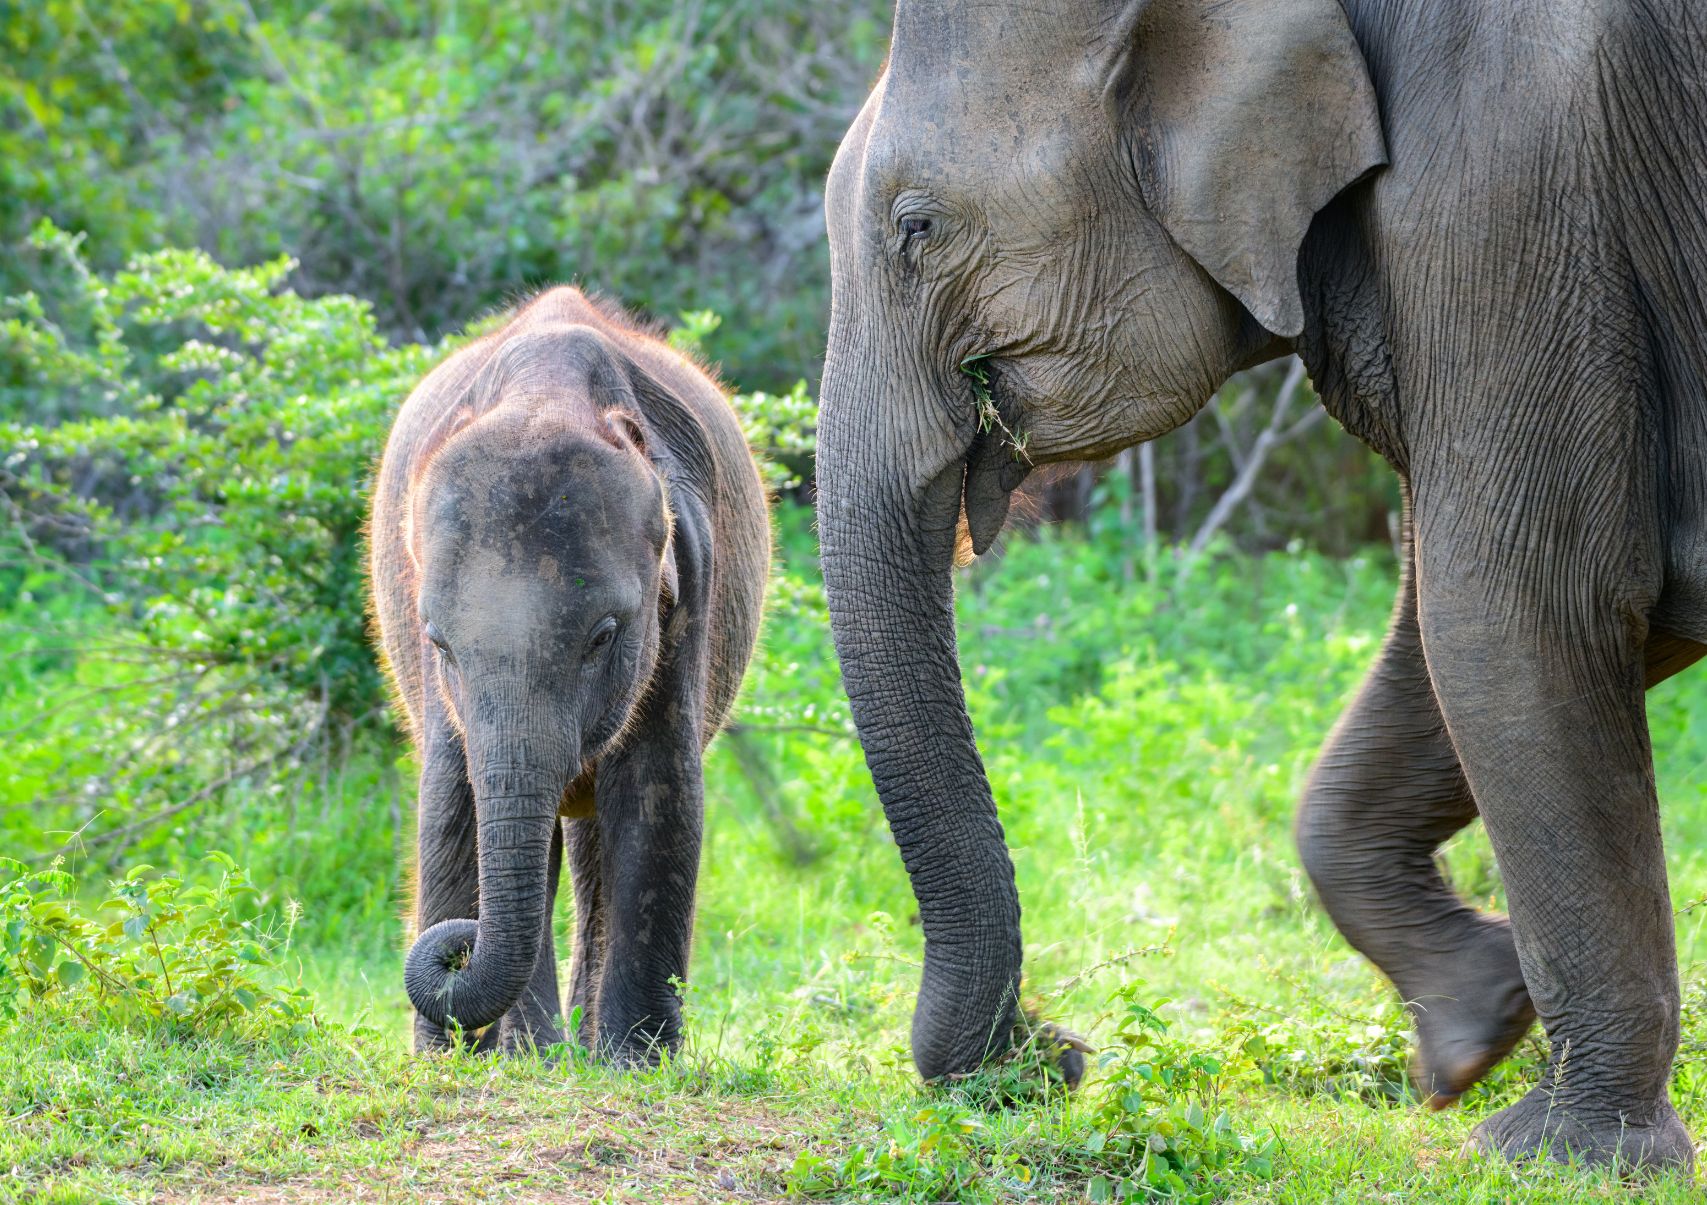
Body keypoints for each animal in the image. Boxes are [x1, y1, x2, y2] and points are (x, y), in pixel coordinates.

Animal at [377, 286, 771, 1058]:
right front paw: (479, 1056)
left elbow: (658, 791)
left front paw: (636, 1061)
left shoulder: (689, 591)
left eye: (602, 637)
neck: (547, 394)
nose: (459, 945)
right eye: (440, 644)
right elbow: (453, 800)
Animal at [812, 0, 1707, 1167]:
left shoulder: (1511, 186)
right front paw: (1473, 1031)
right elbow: (1470, 631)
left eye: (916, 226)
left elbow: (1514, 606)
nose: (1053, 1055)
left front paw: (1560, 1151)